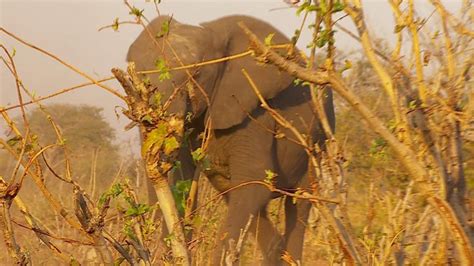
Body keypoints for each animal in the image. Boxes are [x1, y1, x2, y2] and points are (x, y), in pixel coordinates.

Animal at [126, 15, 334, 266]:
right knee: (237, 195)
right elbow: (183, 182)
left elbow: (254, 178)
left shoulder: (252, 106)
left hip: (318, 140)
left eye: (196, 75)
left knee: (298, 202)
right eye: (137, 78)